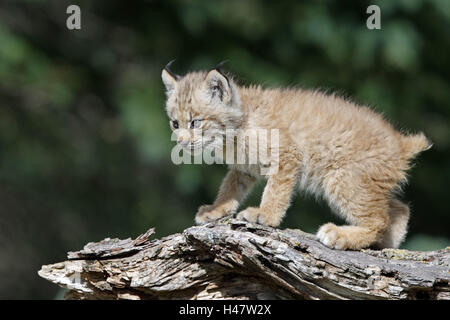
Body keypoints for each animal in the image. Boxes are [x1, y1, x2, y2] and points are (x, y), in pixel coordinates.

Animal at [163, 60, 432, 250]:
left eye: (196, 122)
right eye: (175, 124)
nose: (181, 142)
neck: (235, 128)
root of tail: (399, 141)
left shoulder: (287, 155)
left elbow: (275, 190)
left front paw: (265, 215)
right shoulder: (244, 167)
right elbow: (229, 187)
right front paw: (216, 209)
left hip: (342, 179)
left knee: (379, 219)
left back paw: (340, 235)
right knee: (399, 208)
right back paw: (387, 243)